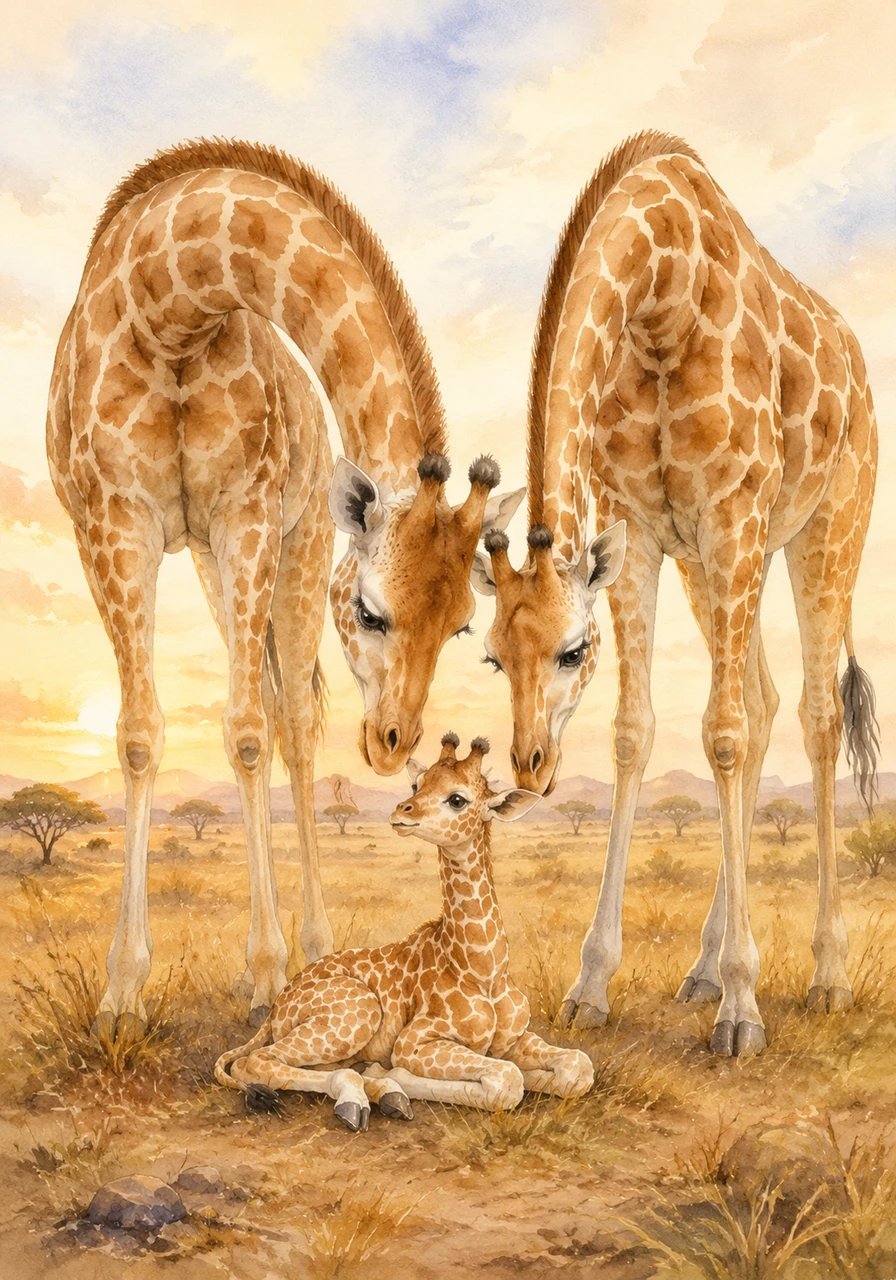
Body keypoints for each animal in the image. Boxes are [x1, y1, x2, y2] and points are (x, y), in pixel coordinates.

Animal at [47, 138, 522, 1027]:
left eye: (461, 626)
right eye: (370, 613)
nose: (393, 742)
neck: (167, 302)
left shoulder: (249, 510)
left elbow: (246, 731)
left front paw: (267, 972)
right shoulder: (111, 519)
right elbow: (138, 732)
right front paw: (122, 990)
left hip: (290, 548)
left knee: (293, 723)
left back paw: (311, 946)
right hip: (212, 557)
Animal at [215, 733, 594, 1129]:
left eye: (457, 799)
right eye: (417, 784)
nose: (401, 812)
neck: (482, 968)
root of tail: (278, 1004)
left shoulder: (514, 1038)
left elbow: (577, 1066)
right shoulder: (414, 1042)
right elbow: (506, 1080)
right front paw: (395, 1076)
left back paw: (382, 1093)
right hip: (357, 1012)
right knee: (256, 1061)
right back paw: (362, 1098)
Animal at [473, 131, 878, 1057]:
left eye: (572, 651)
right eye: (492, 655)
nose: (530, 765)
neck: (661, 291)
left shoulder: (731, 511)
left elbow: (721, 736)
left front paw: (743, 1009)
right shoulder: (644, 528)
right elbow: (637, 732)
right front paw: (592, 985)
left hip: (825, 526)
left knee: (813, 716)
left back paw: (826, 976)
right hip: (714, 560)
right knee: (764, 701)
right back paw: (703, 968)